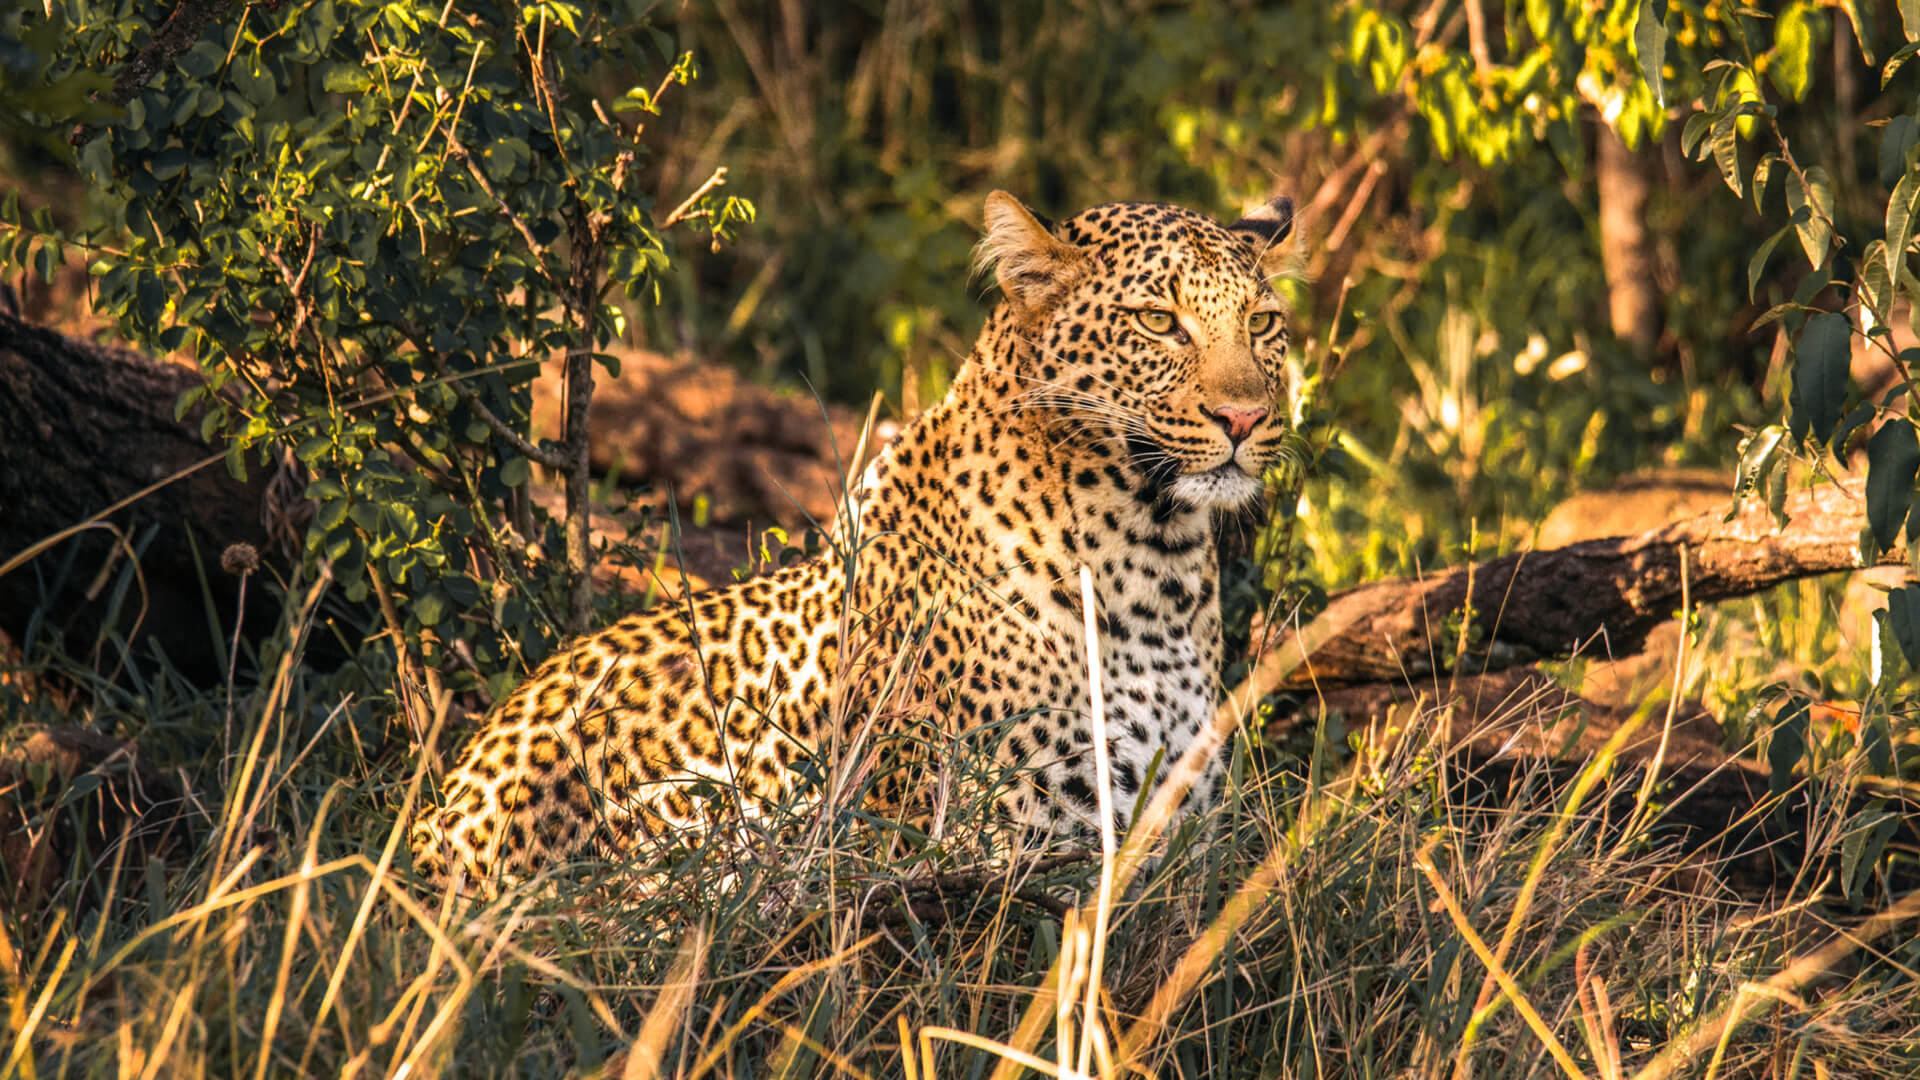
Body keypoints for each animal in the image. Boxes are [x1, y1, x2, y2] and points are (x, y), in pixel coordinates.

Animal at [409, 191, 1302, 891]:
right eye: (1159, 322)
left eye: (1263, 324)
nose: (1246, 417)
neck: (1158, 569)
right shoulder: (996, 847)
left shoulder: (1180, 840)